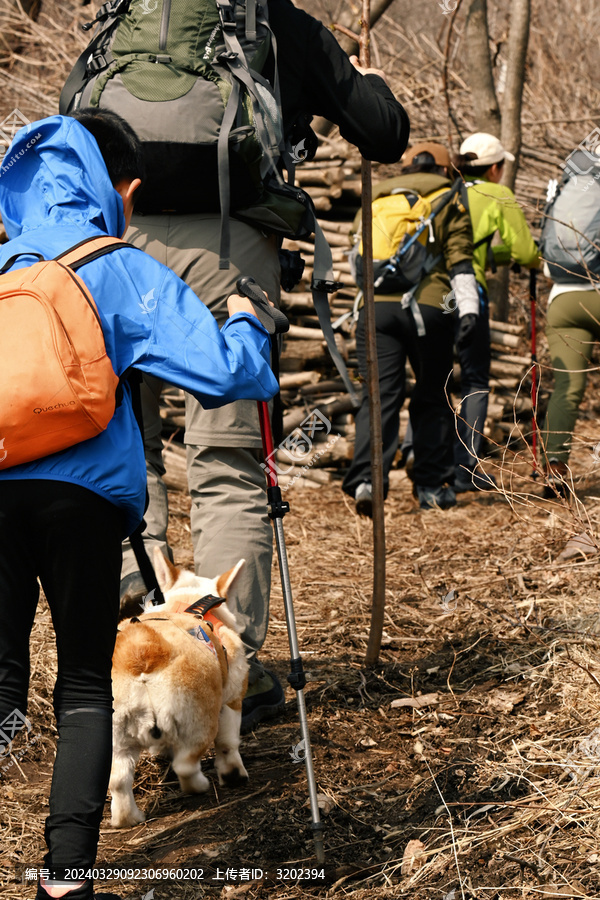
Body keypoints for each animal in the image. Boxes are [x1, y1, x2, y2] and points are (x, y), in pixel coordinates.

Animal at [109, 544, 247, 828]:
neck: (186, 604)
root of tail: (142, 649)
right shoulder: (231, 699)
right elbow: (228, 742)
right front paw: (234, 775)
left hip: (117, 737)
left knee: (118, 781)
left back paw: (128, 818)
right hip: (197, 721)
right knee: (186, 764)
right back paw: (200, 785)